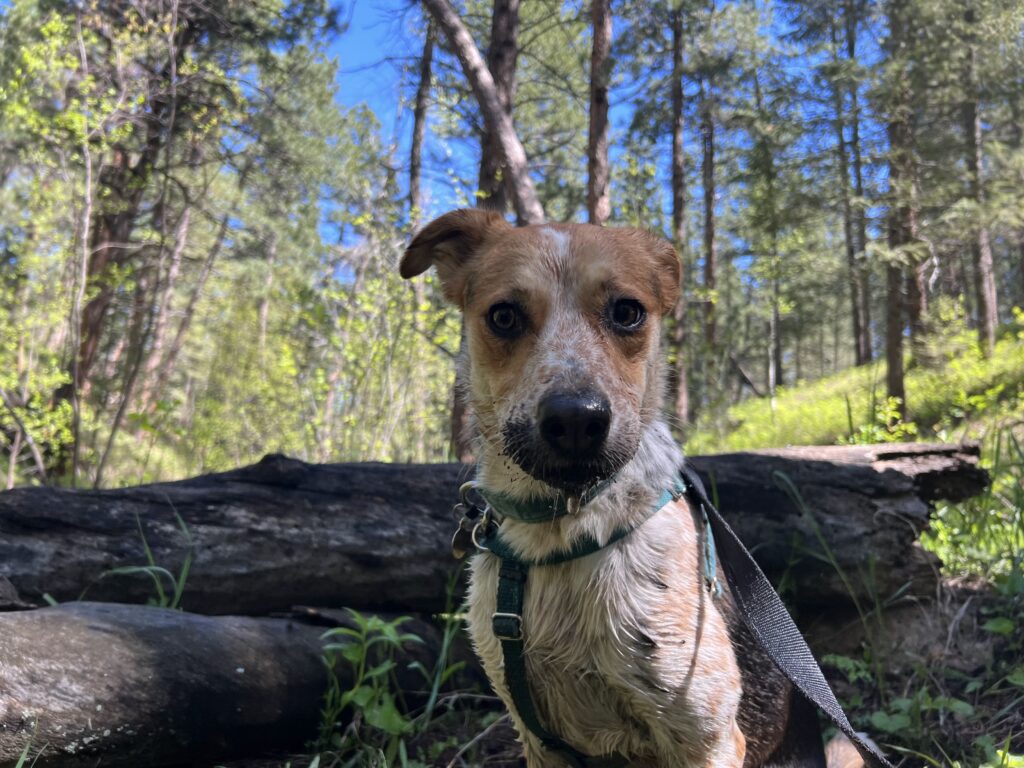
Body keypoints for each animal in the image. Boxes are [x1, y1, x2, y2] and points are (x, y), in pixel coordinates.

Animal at [403, 207, 860, 765]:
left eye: (627, 312)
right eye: (504, 316)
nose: (577, 420)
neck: (563, 532)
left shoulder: (706, 736)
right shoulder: (537, 736)